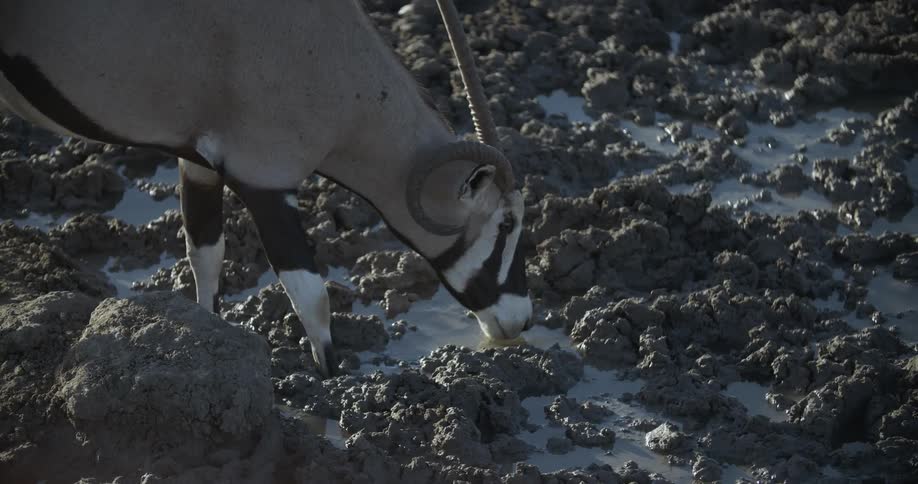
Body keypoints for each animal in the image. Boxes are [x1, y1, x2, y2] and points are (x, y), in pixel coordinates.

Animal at [0, 0, 533, 376]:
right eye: (506, 222)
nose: (522, 321)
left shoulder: (200, 162)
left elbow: (206, 254)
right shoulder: (267, 179)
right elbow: (312, 297)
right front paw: (330, 384)